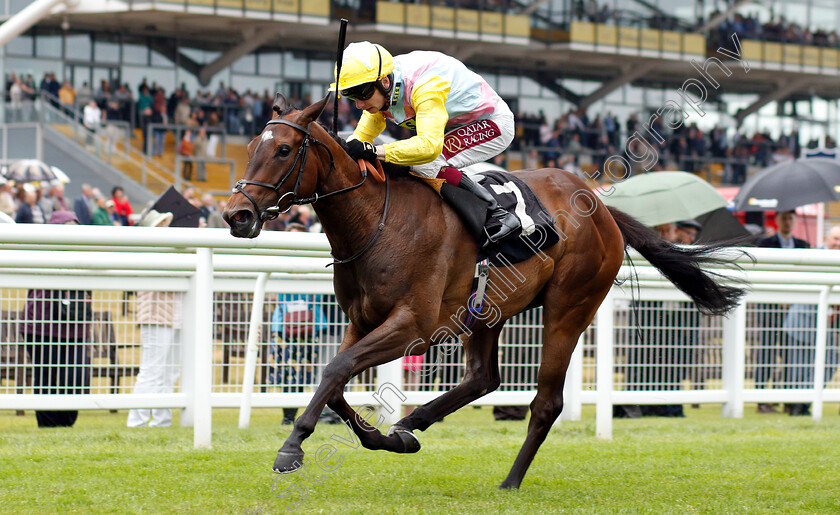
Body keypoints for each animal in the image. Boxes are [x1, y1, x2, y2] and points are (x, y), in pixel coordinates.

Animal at [221, 93, 740, 492]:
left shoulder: (413, 326)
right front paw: (382, 436)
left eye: (284, 149)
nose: (235, 214)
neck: (377, 221)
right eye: (250, 146)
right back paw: (409, 426)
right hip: (489, 308)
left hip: (570, 306)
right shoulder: (362, 320)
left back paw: (510, 480)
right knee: (482, 377)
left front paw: (291, 448)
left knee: (545, 402)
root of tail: (603, 210)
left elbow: (336, 370)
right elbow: (334, 381)